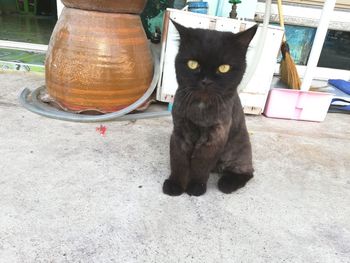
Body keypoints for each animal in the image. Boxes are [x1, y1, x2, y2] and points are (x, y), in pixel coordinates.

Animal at [162, 20, 258, 197]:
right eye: (193, 64)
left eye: (224, 68)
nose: (206, 81)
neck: (201, 107)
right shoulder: (180, 132)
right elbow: (178, 161)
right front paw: (175, 184)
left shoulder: (215, 136)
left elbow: (201, 164)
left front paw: (196, 186)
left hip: (238, 152)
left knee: (247, 172)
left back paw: (227, 183)